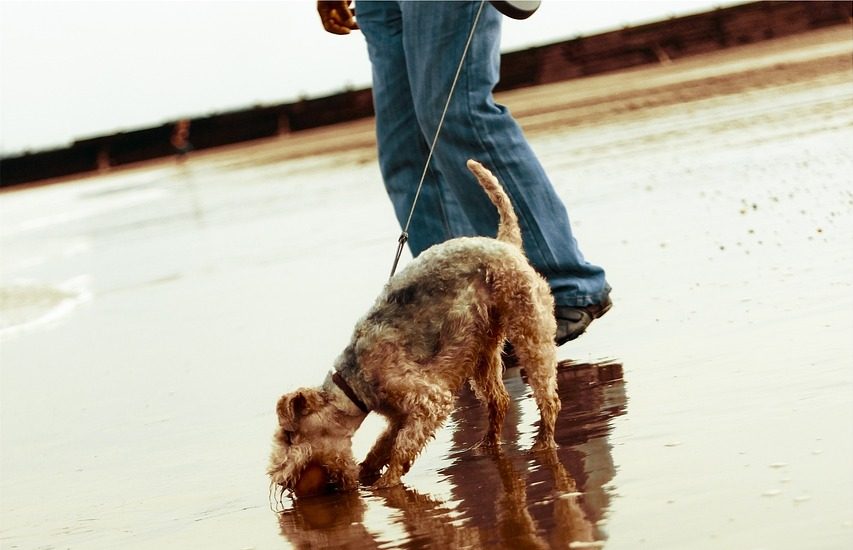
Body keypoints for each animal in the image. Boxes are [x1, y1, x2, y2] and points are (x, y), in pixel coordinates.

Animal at [268, 161, 560, 496]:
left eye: (289, 436)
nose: (280, 480)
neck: (355, 385)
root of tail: (504, 242)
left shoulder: (428, 401)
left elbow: (401, 447)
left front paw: (387, 483)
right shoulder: (398, 416)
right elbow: (381, 446)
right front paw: (367, 472)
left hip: (530, 331)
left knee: (547, 397)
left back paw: (543, 444)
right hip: (482, 351)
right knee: (499, 400)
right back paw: (486, 445)